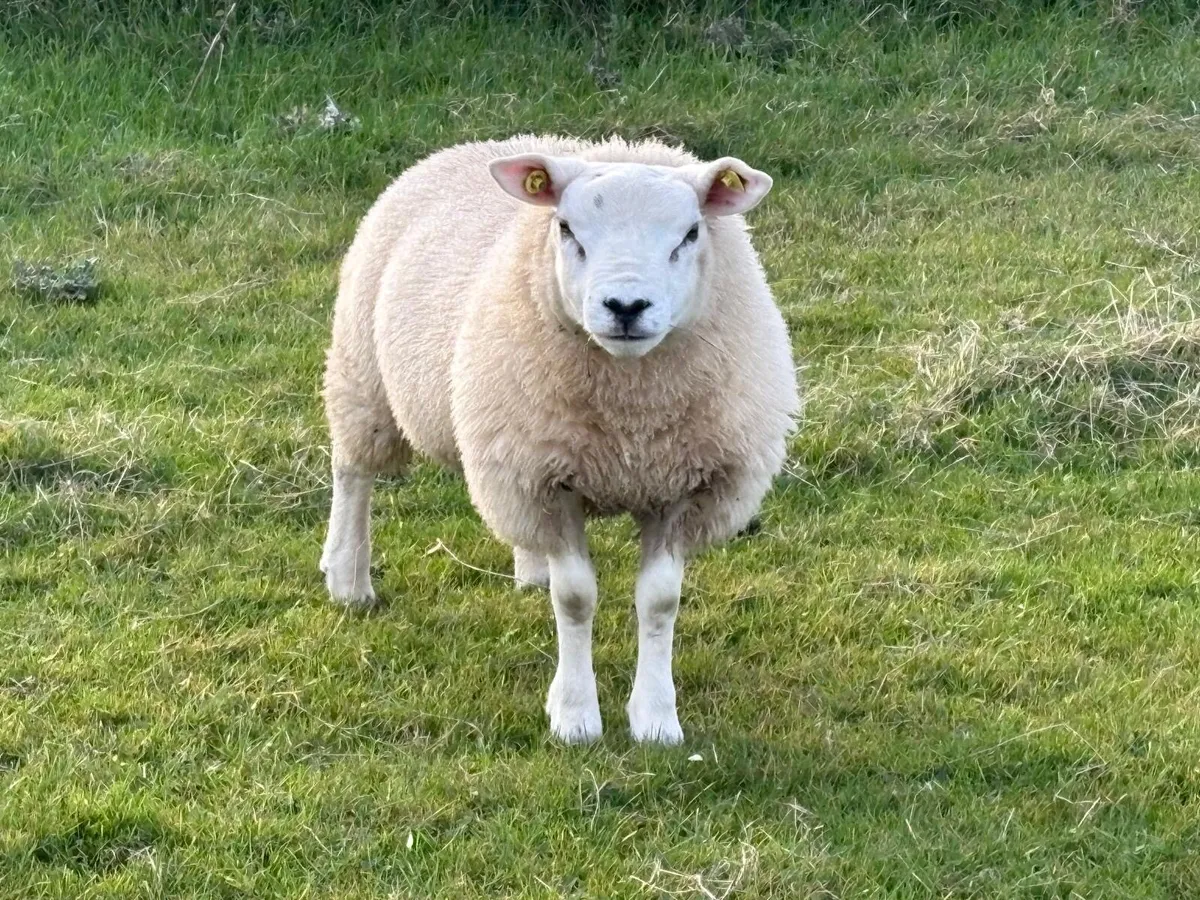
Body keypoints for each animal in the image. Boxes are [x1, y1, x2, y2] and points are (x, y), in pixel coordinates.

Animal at [320, 135, 799, 745]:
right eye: (567, 229)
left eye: (691, 233)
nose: (625, 307)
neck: (631, 421)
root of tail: (492, 143)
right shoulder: (548, 481)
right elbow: (574, 600)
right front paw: (574, 716)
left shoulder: (681, 486)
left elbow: (660, 602)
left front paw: (655, 718)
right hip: (364, 373)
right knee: (353, 472)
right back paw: (347, 578)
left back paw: (530, 569)